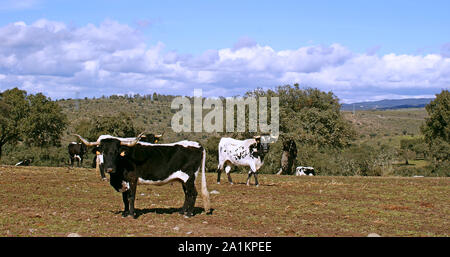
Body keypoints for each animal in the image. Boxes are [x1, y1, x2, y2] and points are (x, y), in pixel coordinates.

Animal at [74, 132, 210, 218]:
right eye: (103, 151)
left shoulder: (133, 179)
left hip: (189, 177)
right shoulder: (124, 181)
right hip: (184, 179)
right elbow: (124, 198)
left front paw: (131, 214)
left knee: (193, 193)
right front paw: (125, 213)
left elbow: (131, 197)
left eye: (116, 151)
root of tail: (198, 145)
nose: (110, 169)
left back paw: (189, 214)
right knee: (187, 194)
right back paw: (182, 211)